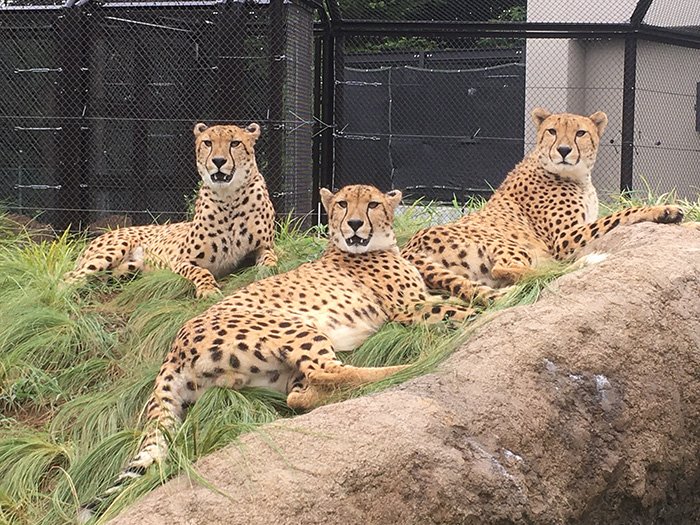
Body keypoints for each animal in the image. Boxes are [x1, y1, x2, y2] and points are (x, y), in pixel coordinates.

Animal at [66, 120, 276, 296]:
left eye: (235, 143)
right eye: (208, 143)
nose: (218, 161)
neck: (229, 198)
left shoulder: (263, 246)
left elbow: (271, 259)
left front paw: (268, 271)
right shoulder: (179, 261)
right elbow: (201, 271)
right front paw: (207, 289)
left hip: (128, 269)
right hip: (115, 248)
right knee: (71, 276)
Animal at [80, 184, 476, 520]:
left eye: (373, 204)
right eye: (342, 204)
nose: (353, 223)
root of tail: (174, 348)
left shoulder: (417, 300)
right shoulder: (410, 307)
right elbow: (462, 308)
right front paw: (487, 310)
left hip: (272, 375)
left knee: (302, 395)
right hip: (299, 328)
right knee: (332, 372)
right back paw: (409, 367)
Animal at [402, 108, 680, 300]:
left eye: (580, 133)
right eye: (552, 131)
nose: (564, 150)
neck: (578, 176)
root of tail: (409, 248)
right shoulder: (563, 239)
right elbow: (621, 214)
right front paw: (664, 210)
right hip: (509, 243)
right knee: (511, 270)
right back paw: (580, 263)